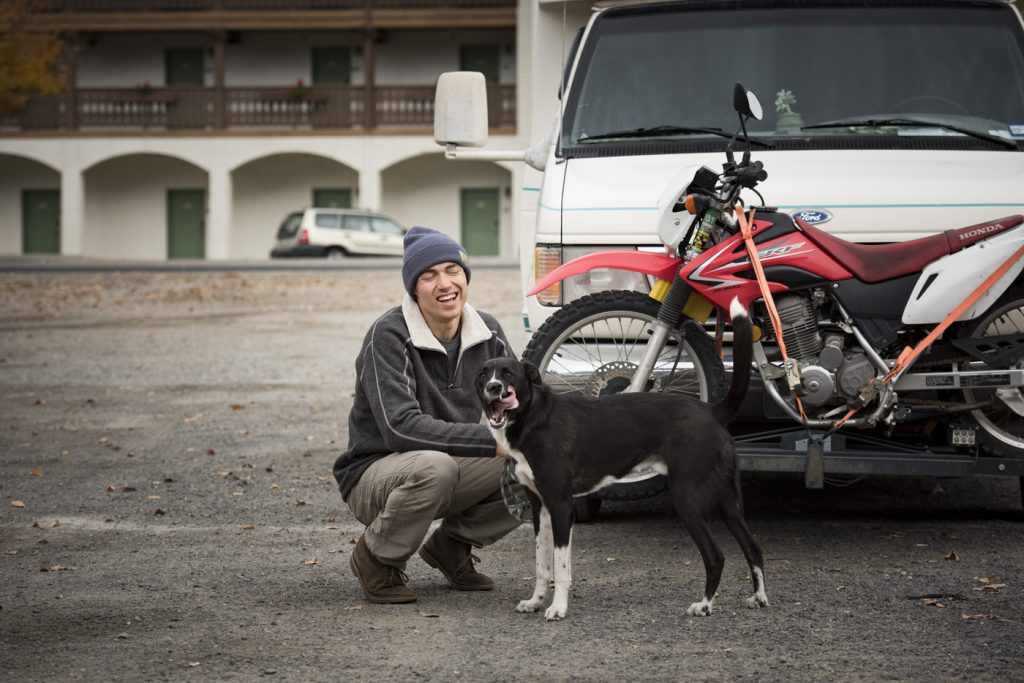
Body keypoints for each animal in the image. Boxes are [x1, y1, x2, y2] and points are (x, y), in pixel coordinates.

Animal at [479, 301, 770, 622]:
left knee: (716, 556)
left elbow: (561, 566)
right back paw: (759, 597)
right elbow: (542, 564)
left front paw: (558, 608)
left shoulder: (561, 506)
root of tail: (711, 411)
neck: (533, 418)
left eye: (508, 374)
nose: (493, 388)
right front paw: (535, 601)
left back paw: (705, 605)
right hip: (727, 502)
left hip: (688, 500)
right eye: (483, 374)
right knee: (753, 547)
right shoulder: (539, 507)